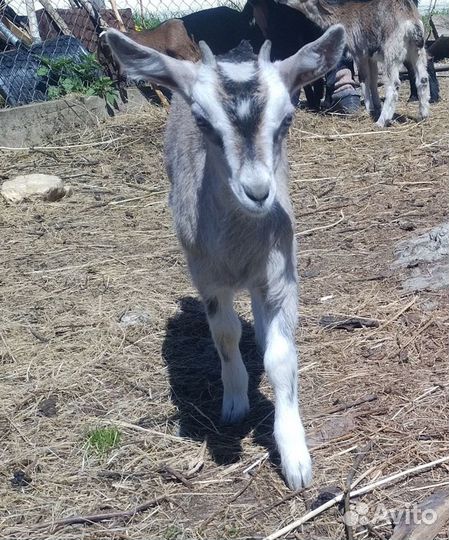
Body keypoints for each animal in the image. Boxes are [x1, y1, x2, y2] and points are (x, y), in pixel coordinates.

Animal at [103, 25, 344, 490]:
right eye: (203, 121)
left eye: (288, 119)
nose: (258, 191)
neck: (238, 246)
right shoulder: (207, 277)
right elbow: (225, 336)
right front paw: (234, 404)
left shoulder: (280, 273)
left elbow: (281, 358)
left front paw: (295, 458)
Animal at [278, 0, 428, 126]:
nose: (280, 1)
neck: (342, 16)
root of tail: (411, 23)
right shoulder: (370, 56)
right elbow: (373, 80)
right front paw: (376, 106)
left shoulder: (359, 52)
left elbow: (363, 78)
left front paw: (369, 108)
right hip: (417, 52)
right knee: (423, 79)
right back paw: (423, 115)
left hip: (392, 51)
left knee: (394, 84)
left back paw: (381, 122)